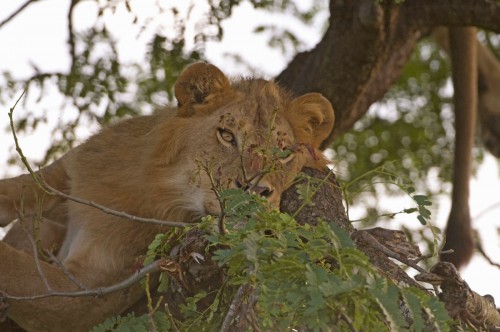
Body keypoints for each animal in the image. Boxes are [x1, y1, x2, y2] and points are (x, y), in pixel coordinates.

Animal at [0, 63, 336, 332]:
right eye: (227, 135)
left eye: (283, 153)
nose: (255, 190)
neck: (157, 186)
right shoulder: (64, 174)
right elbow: (17, 190)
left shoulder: (88, 295)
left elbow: (15, 268)